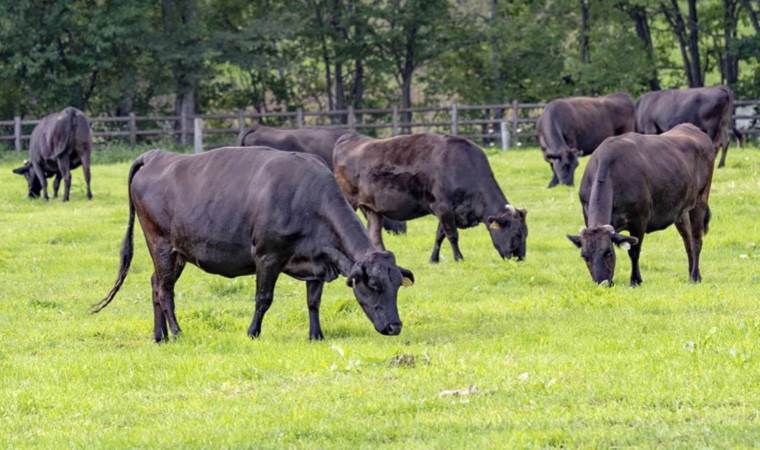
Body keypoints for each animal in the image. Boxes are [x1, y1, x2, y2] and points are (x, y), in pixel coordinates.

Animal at [95, 148, 418, 342]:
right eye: (373, 285)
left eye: (397, 286)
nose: (395, 326)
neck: (307, 199)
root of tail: (157, 156)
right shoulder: (267, 256)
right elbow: (264, 298)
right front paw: (253, 332)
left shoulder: (317, 261)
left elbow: (313, 301)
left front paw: (316, 335)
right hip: (160, 243)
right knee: (165, 290)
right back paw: (176, 331)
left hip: (177, 252)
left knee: (155, 285)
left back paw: (159, 335)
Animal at [332, 132, 528, 262]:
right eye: (516, 234)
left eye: (526, 233)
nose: (520, 258)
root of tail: (350, 138)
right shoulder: (443, 207)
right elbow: (452, 235)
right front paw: (459, 258)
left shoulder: (447, 211)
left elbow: (439, 235)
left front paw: (434, 259)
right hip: (349, 200)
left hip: (372, 209)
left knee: (374, 235)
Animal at [568, 124, 716, 284]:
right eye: (585, 256)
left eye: (608, 252)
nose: (603, 283)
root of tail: (692, 128)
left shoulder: (639, 220)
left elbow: (634, 252)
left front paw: (635, 280)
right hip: (681, 211)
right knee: (687, 240)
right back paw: (693, 275)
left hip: (700, 200)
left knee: (696, 240)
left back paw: (694, 276)